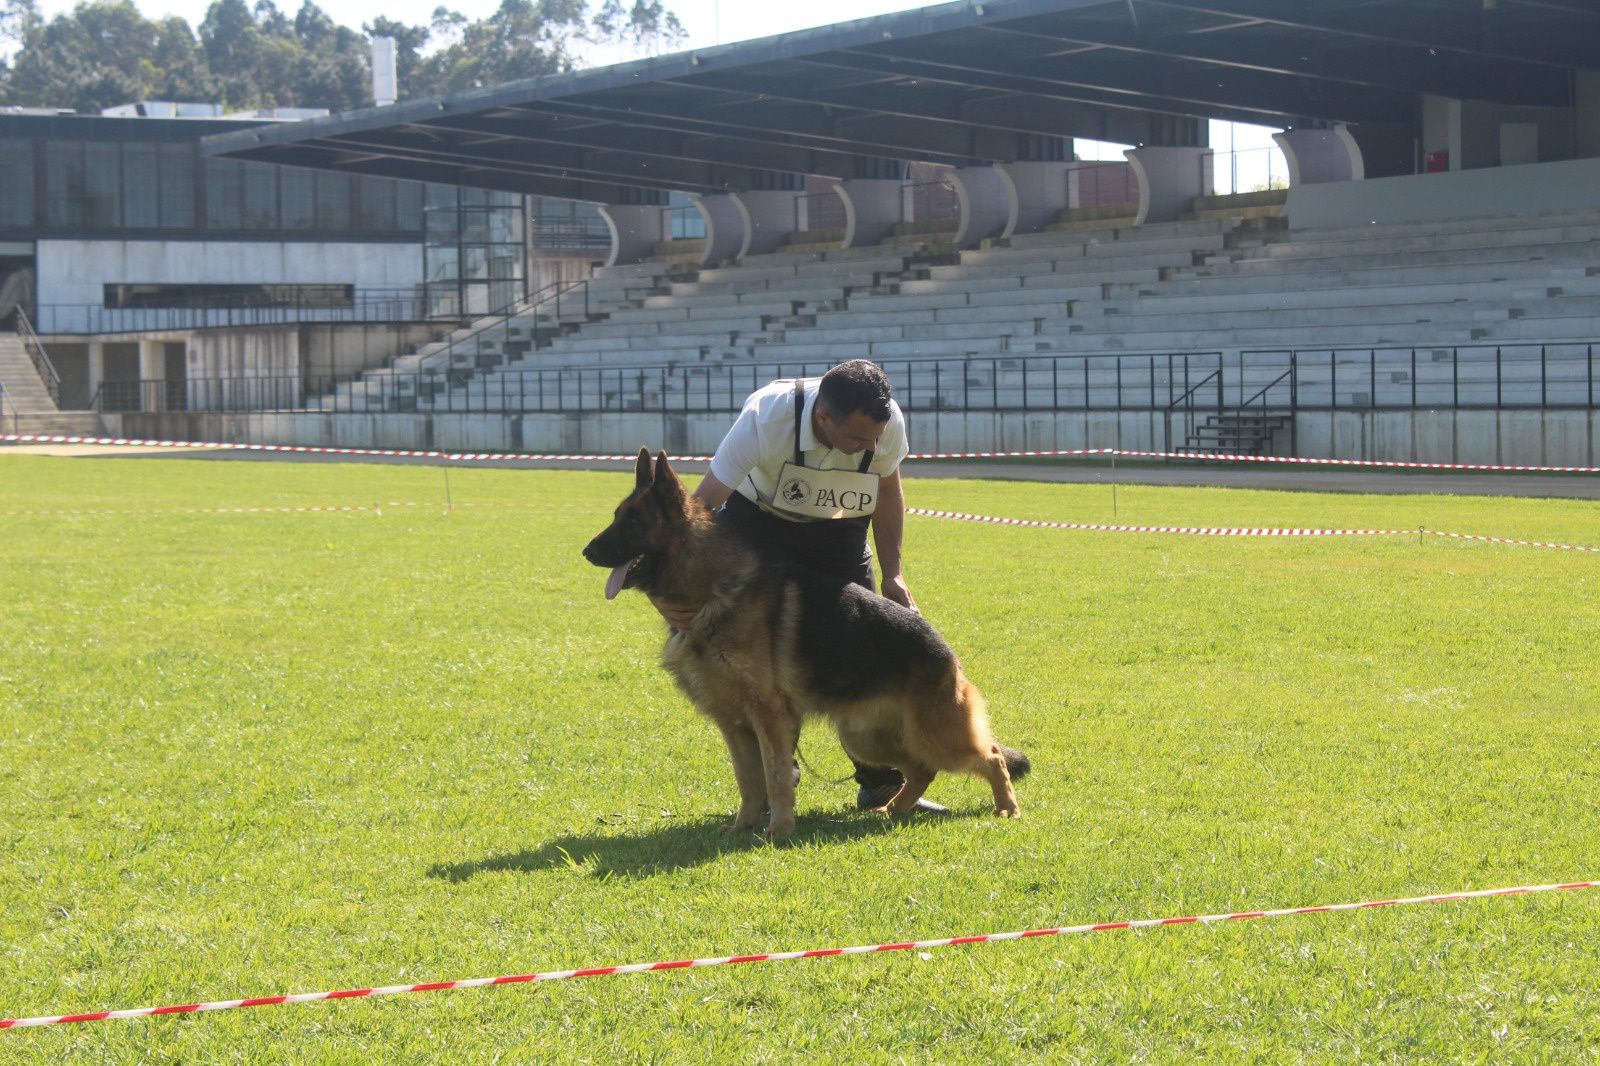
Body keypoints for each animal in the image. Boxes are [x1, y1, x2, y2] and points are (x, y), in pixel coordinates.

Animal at [582, 444, 1030, 832]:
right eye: (616, 516)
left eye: (633, 523)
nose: (586, 552)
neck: (712, 588)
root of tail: (945, 650)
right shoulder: (734, 723)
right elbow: (748, 781)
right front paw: (742, 828)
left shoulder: (769, 718)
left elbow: (776, 777)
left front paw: (779, 832)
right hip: (865, 737)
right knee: (921, 769)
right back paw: (892, 808)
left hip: (934, 734)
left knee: (991, 757)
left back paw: (1007, 809)